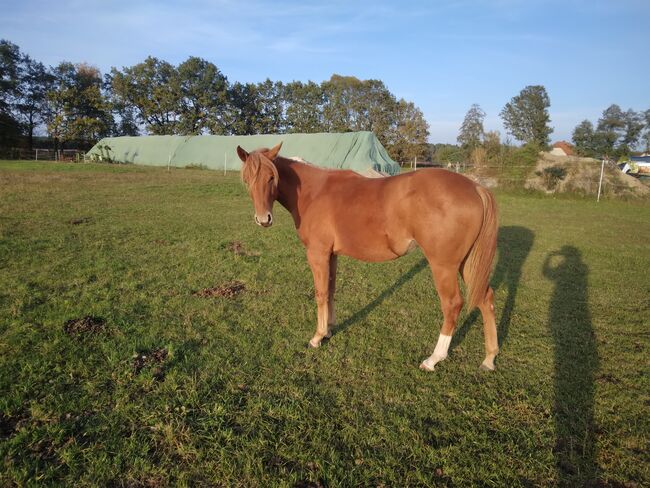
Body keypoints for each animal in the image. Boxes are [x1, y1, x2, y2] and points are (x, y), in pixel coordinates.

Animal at [235, 143, 498, 372]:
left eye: (271, 178)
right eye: (247, 180)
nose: (263, 219)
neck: (313, 192)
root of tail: (475, 188)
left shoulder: (317, 254)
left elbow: (320, 293)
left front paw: (317, 338)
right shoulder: (331, 255)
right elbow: (330, 291)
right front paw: (329, 330)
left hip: (443, 266)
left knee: (452, 304)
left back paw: (434, 359)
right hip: (466, 264)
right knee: (485, 299)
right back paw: (489, 358)